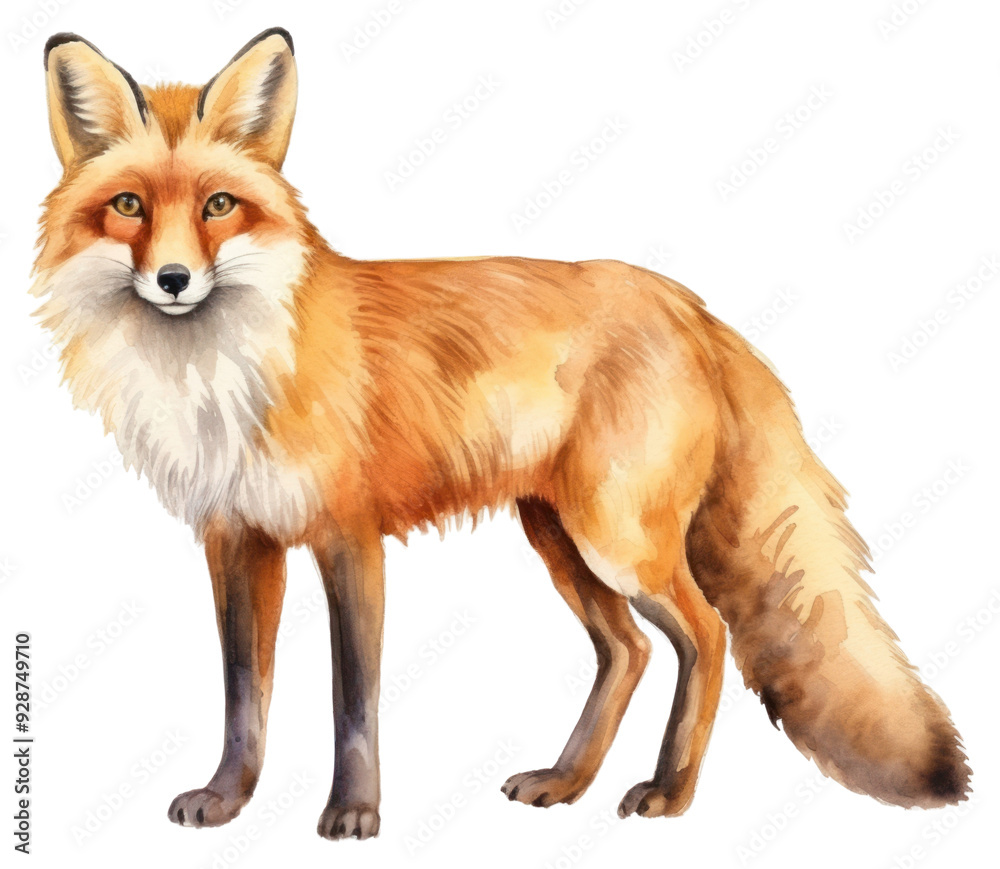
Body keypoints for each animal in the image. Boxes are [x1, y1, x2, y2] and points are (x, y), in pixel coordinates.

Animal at [32, 27, 970, 841]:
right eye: (128, 206)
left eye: (220, 205)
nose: (173, 278)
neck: (222, 374)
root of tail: (689, 303)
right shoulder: (238, 538)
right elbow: (242, 696)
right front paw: (229, 799)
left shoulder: (347, 535)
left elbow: (353, 696)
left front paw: (355, 811)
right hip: (558, 537)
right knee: (628, 651)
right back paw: (568, 779)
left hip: (617, 539)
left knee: (707, 634)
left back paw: (670, 789)